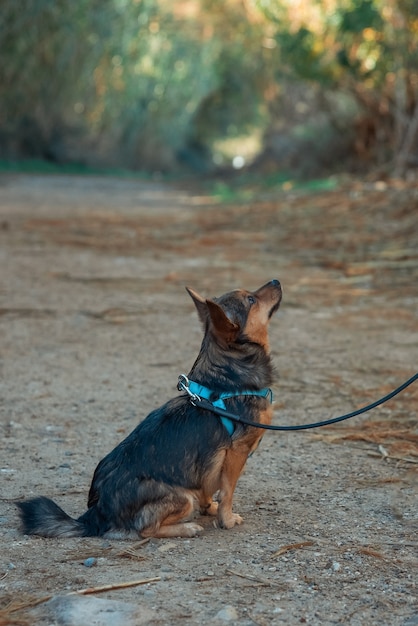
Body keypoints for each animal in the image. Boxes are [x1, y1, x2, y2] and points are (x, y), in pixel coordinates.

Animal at [18, 278, 282, 536]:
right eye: (251, 299)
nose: (276, 280)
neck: (228, 373)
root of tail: (96, 515)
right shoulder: (236, 452)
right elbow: (227, 492)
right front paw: (226, 519)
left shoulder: (207, 468)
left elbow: (206, 488)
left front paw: (210, 508)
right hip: (182, 498)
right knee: (146, 529)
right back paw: (187, 528)